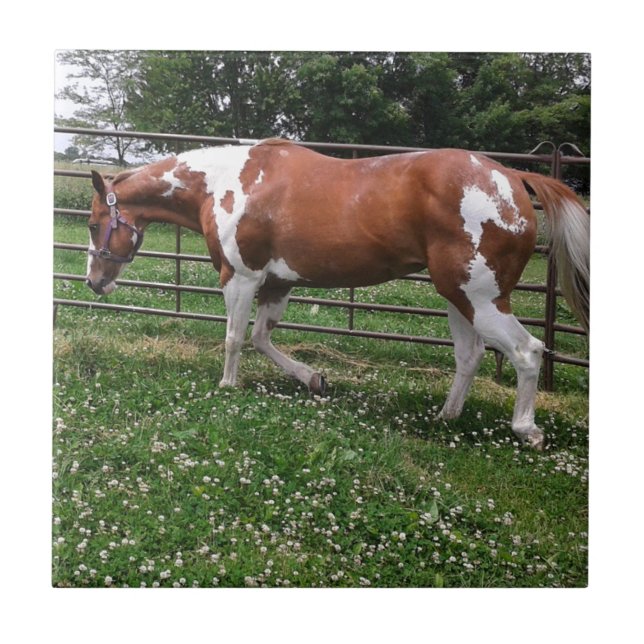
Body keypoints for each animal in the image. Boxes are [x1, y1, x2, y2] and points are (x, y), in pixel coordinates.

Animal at [85, 139, 589, 450]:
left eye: (92, 224)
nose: (94, 281)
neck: (225, 183)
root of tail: (509, 175)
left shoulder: (241, 277)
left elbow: (234, 338)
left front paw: (228, 385)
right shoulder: (278, 283)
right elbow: (262, 339)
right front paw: (314, 379)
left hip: (480, 298)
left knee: (527, 351)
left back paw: (527, 430)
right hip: (458, 297)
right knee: (470, 356)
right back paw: (446, 416)